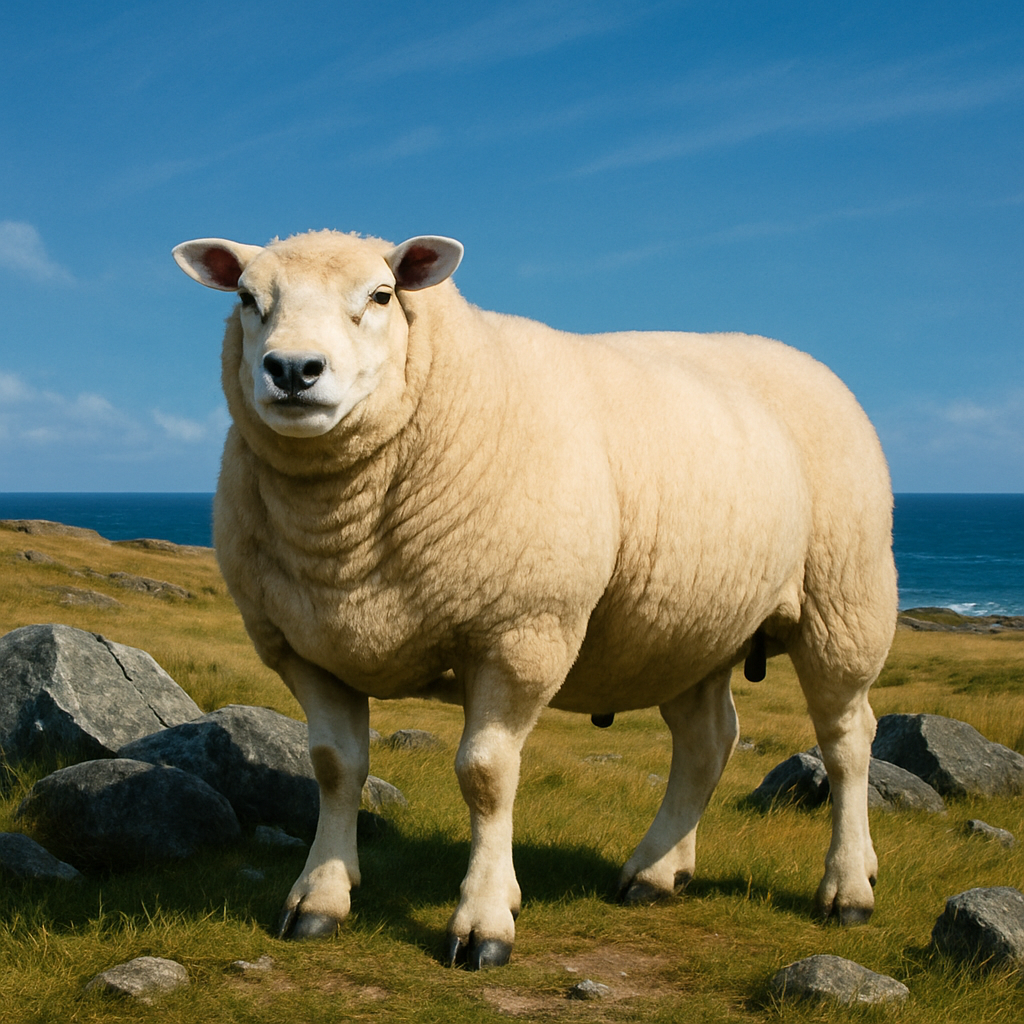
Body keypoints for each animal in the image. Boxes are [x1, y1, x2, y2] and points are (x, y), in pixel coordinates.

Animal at [172, 229, 897, 969]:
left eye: (381, 295)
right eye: (247, 298)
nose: (292, 370)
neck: (344, 534)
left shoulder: (520, 632)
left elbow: (486, 774)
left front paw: (484, 921)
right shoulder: (305, 647)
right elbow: (334, 768)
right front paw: (319, 897)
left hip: (846, 598)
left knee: (846, 740)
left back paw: (847, 889)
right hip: (686, 628)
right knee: (707, 741)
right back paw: (656, 872)